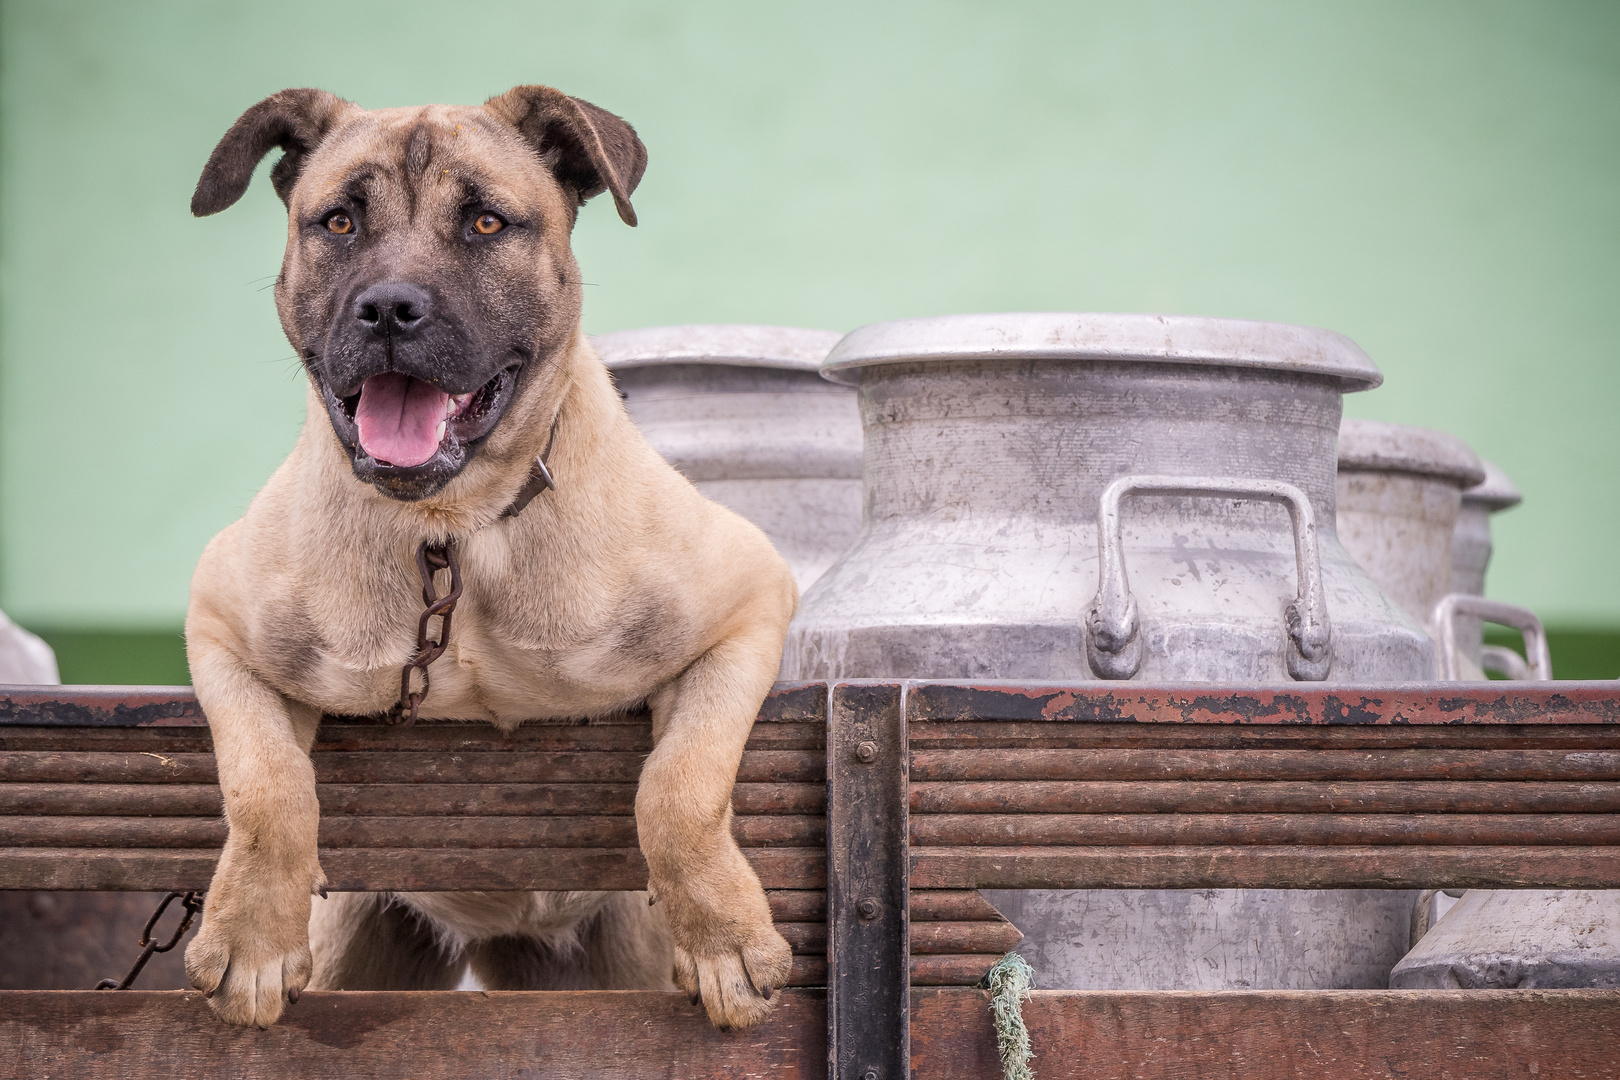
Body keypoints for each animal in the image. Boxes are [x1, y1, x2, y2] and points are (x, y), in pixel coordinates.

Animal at [182, 84, 797, 1029]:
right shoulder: (218, 627)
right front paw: (250, 935)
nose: (389, 309)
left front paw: (725, 938)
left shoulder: (748, 604)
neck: (452, 530)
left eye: (484, 223)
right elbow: (265, 784)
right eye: (339, 222)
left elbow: (680, 787)